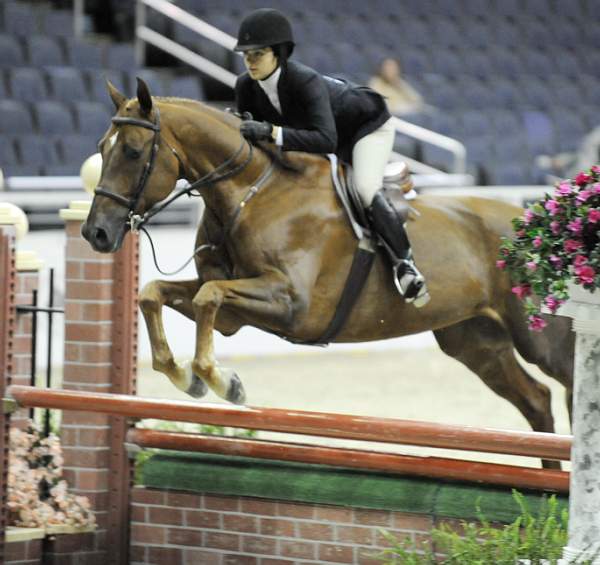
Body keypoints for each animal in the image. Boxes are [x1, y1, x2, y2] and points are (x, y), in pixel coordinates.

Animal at [82, 79, 576, 464]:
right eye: (101, 149)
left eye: (132, 152)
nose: (96, 234)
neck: (249, 194)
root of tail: (536, 223)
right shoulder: (232, 316)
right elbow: (156, 292)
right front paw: (188, 378)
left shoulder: (292, 306)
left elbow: (208, 296)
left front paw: (225, 383)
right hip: (474, 340)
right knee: (537, 400)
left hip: (540, 338)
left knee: (565, 383)